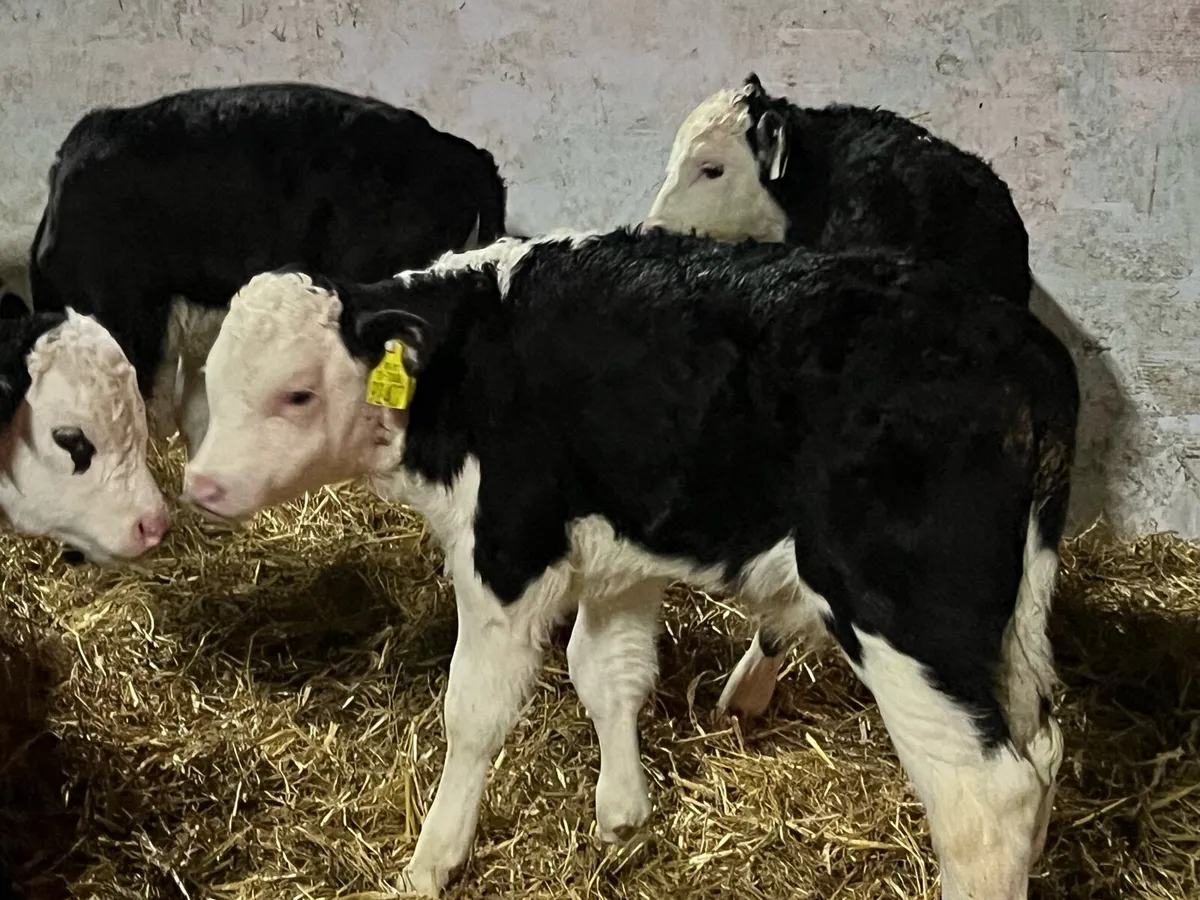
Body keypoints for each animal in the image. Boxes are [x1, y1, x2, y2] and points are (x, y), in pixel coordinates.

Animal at [178, 227, 1079, 900]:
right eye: (214, 381)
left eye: (297, 393)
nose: (201, 484)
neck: (470, 361)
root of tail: (1015, 342)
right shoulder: (620, 554)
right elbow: (606, 672)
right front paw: (620, 815)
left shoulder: (506, 551)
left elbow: (473, 712)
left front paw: (430, 862)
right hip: (1013, 614)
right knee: (1042, 750)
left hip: (900, 611)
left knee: (984, 800)